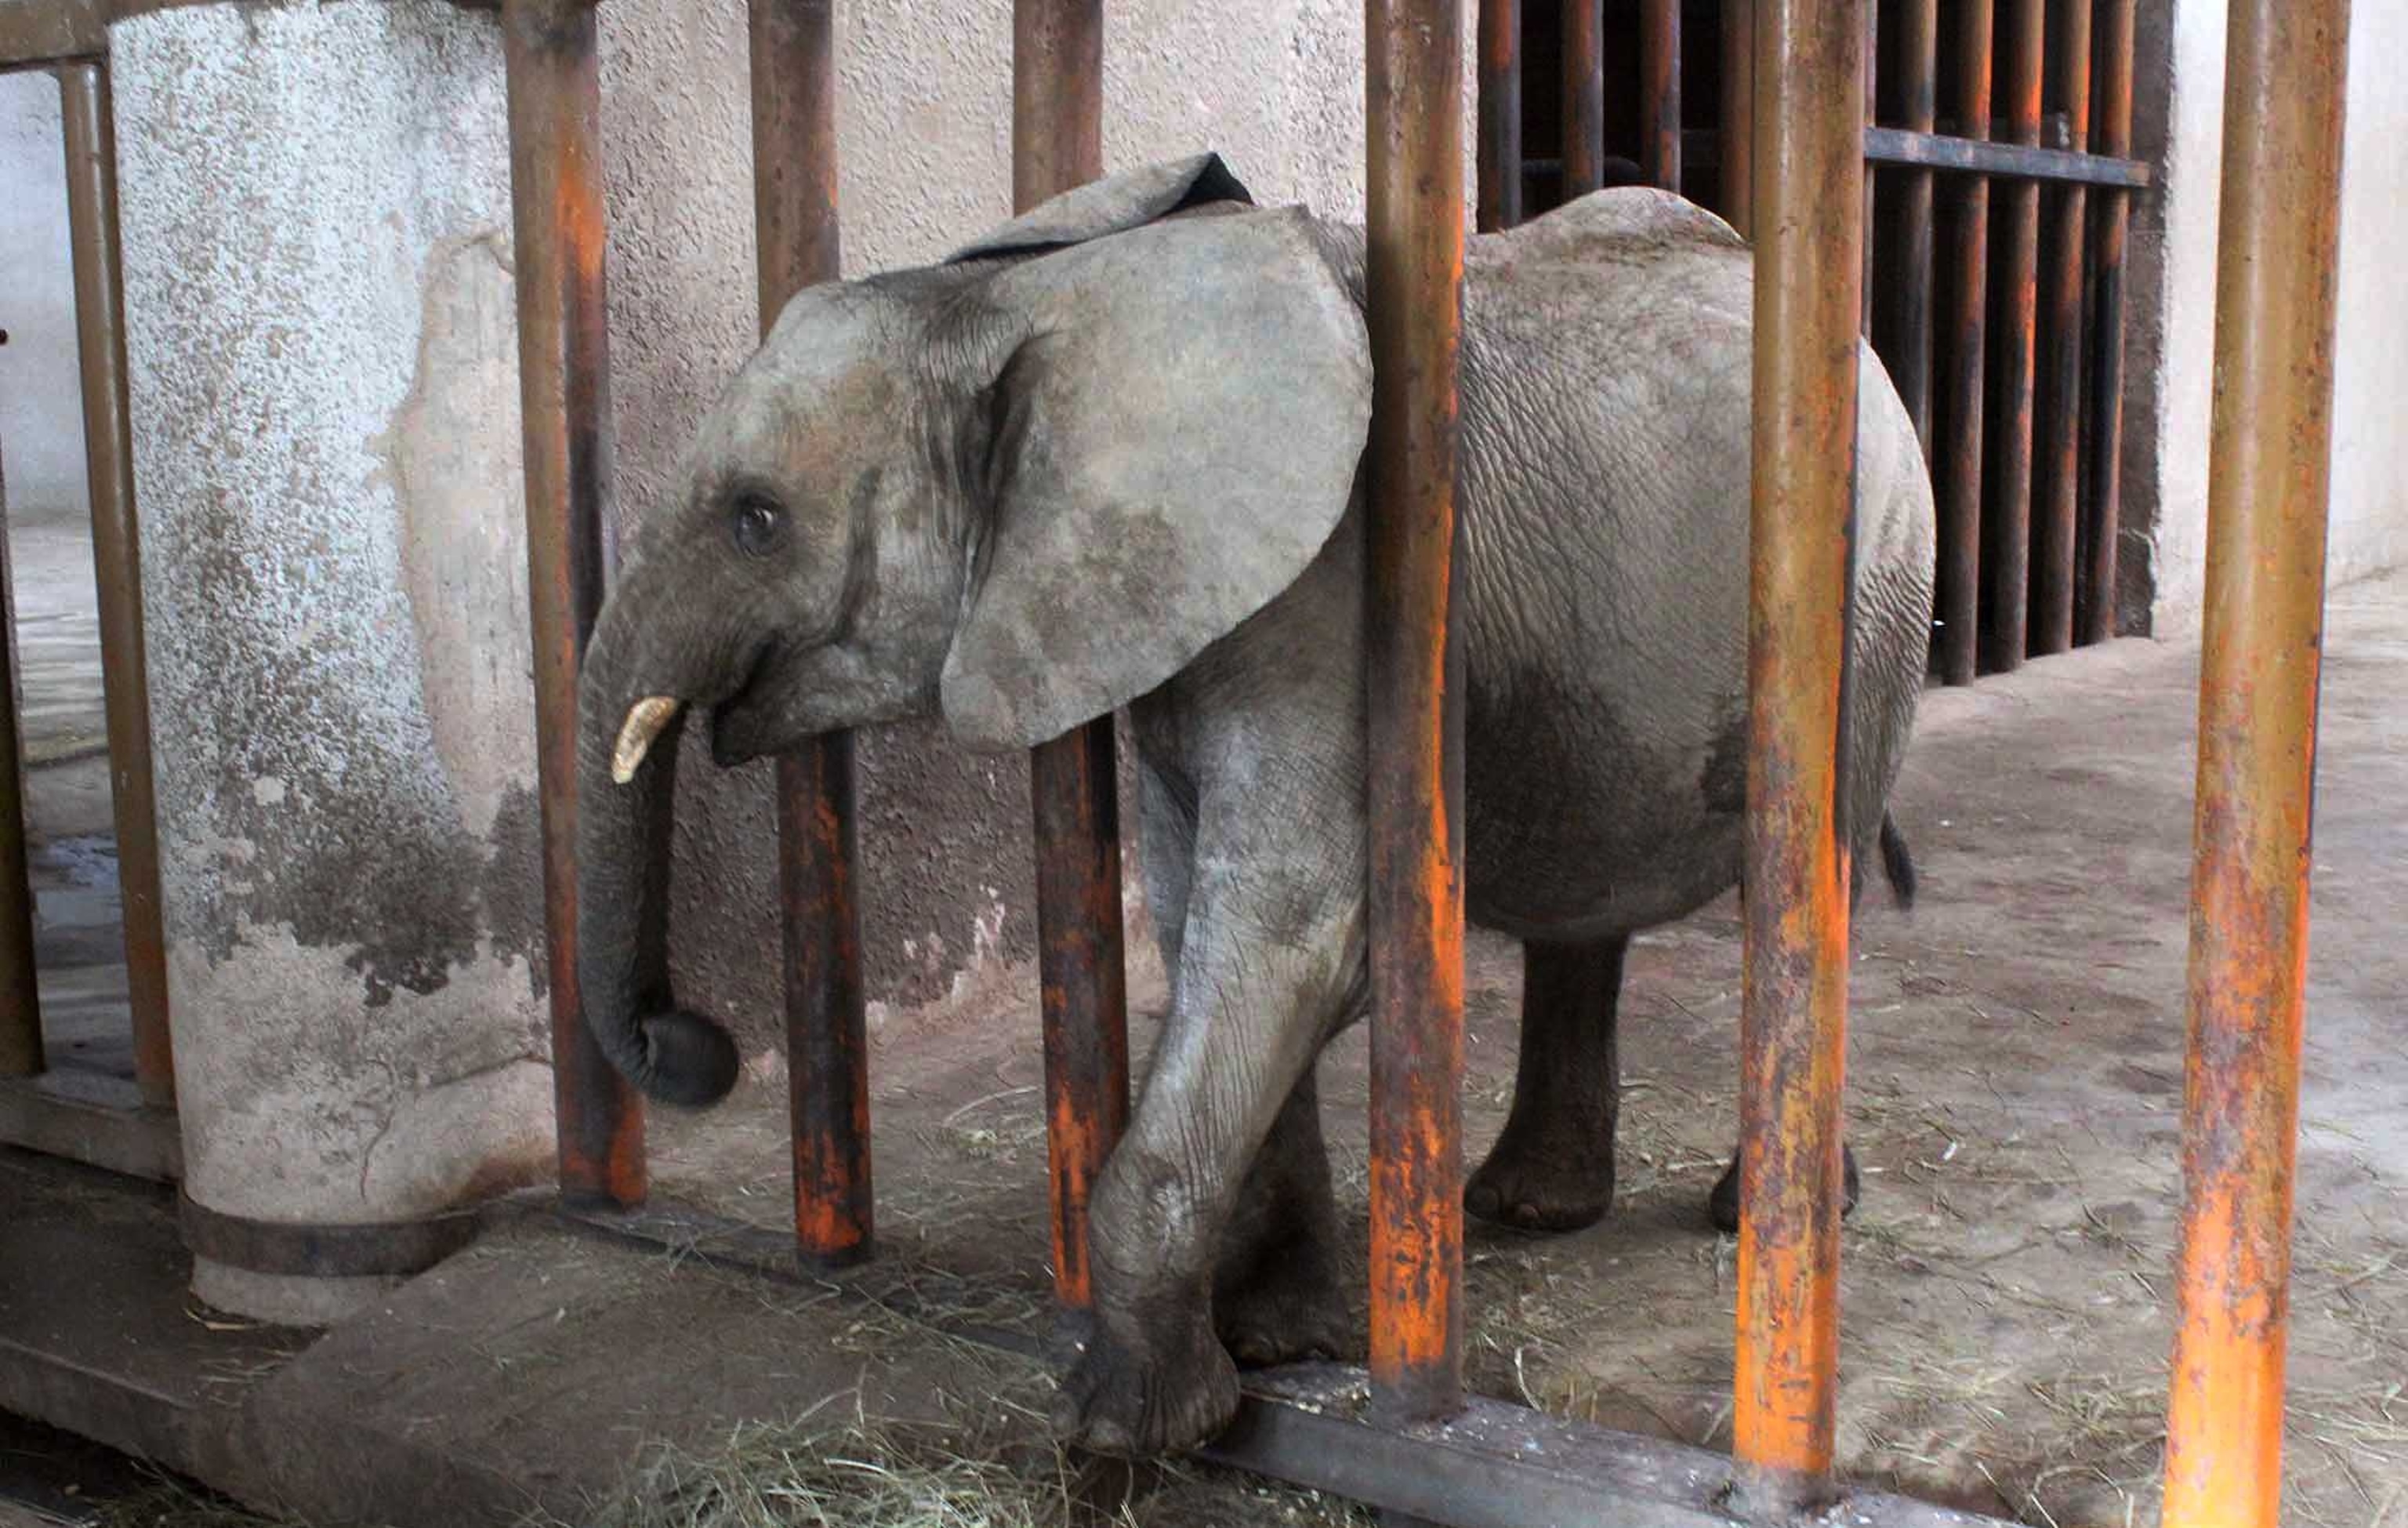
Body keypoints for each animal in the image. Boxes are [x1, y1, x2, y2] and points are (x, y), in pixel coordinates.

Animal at [572, 153, 1936, 1457]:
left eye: (755, 520)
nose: (692, 1043)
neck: (1046, 302)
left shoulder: (1337, 599)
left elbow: (1295, 937)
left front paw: (1134, 1427)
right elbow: (1200, 926)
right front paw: (1282, 1341)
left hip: (1870, 591)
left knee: (1802, 885)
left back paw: (1751, 1215)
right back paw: (1524, 1208)